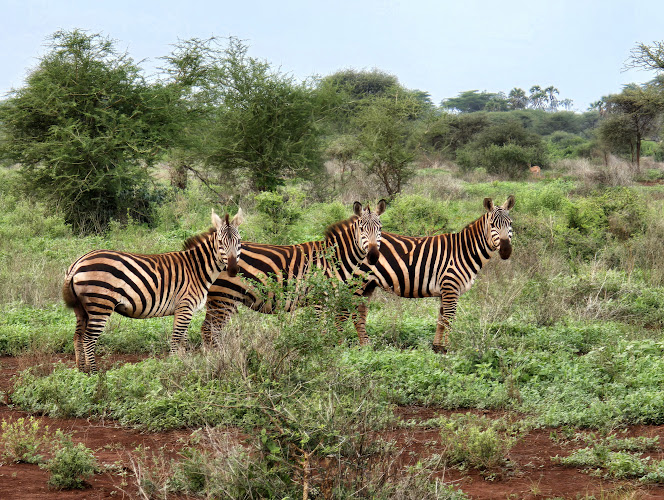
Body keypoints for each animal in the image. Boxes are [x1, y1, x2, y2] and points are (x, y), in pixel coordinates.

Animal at [61, 208, 244, 372]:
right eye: (220, 243)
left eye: (239, 241)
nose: (233, 270)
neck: (197, 269)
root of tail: (77, 263)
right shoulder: (185, 306)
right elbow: (176, 339)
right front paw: (174, 366)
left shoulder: (184, 309)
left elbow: (183, 341)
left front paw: (183, 362)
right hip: (101, 305)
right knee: (88, 339)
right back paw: (94, 372)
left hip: (82, 308)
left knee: (77, 336)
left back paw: (82, 371)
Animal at [200, 201, 386, 346]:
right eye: (362, 228)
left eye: (380, 228)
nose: (373, 256)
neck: (334, 258)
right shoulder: (318, 298)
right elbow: (318, 329)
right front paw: (315, 355)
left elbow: (330, 329)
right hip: (224, 297)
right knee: (210, 331)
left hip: (221, 299)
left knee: (206, 329)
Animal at [350, 195, 516, 352]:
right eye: (492, 225)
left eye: (510, 224)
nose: (506, 251)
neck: (464, 252)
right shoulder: (450, 287)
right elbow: (448, 320)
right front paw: (449, 348)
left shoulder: (445, 290)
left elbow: (441, 320)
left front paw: (437, 347)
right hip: (357, 282)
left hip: (368, 285)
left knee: (360, 313)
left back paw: (366, 346)